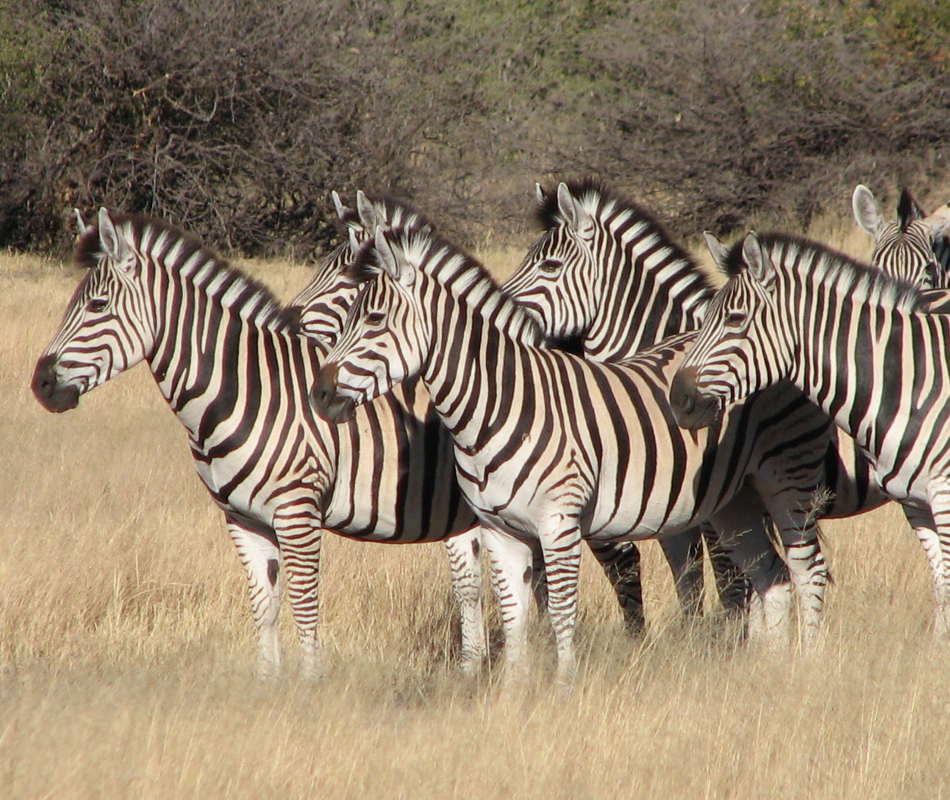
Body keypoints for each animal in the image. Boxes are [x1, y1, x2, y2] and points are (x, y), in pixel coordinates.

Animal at [30, 209, 494, 680]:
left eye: (97, 306)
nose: (41, 385)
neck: (243, 392)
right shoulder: (242, 518)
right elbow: (264, 606)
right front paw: (268, 681)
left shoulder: (297, 512)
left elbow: (304, 604)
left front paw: (309, 684)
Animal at [312, 222, 832, 684]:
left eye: (373, 319)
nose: (318, 394)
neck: (495, 406)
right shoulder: (501, 530)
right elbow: (514, 616)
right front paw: (512, 696)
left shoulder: (558, 523)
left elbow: (562, 612)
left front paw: (564, 687)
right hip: (733, 502)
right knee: (772, 575)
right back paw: (768, 669)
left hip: (789, 480)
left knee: (807, 571)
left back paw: (805, 668)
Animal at [668, 233, 950, 636]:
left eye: (735, 319)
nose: (678, 400)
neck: (905, 380)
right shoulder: (915, 502)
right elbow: (941, 580)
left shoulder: (943, 493)